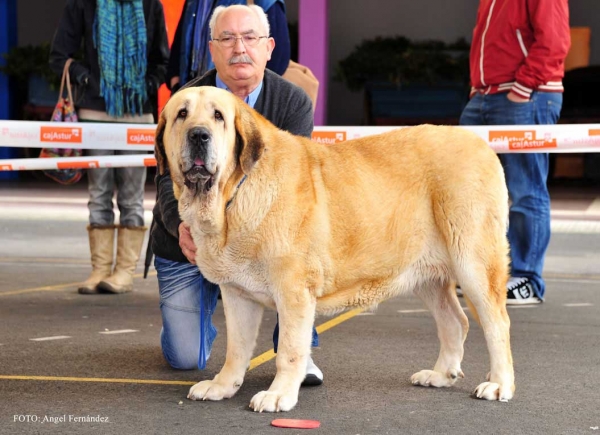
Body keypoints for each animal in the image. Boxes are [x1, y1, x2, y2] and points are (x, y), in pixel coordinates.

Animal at [155, 85, 516, 412]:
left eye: (218, 116)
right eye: (182, 114)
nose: (199, 135)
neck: (233, 195)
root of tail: (481, 145)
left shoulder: (293, 291)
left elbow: (289, 349)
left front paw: (278, 395)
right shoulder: (237, 294)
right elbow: (237, 347)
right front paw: (222, 386)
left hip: (474, 265)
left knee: (497, 324)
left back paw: (499, 384)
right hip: (427, 276)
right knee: (456, 322)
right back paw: (441, 375)